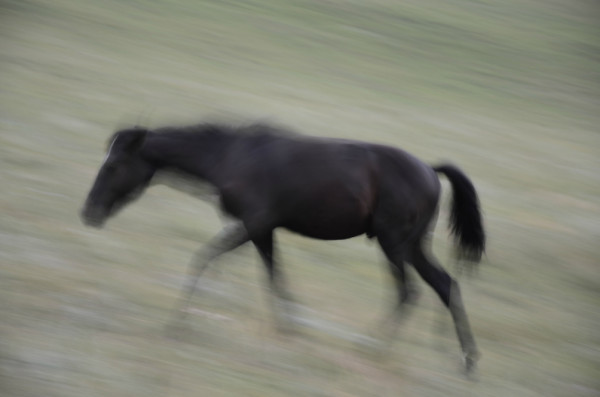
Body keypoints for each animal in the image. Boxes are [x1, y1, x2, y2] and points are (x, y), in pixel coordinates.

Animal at [81, 122, 482, 370]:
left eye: (113, 165)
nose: (89, 213)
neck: (230, 156)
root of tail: (430, 170)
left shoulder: (256, 225)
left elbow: (235, 265)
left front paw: (179, 323)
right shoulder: (258, 229)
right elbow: (253, 270)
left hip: (393, 243)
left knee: (408, 292)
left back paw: (370, 346)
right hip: (413, 246)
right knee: (446, 286)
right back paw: (467, 361)